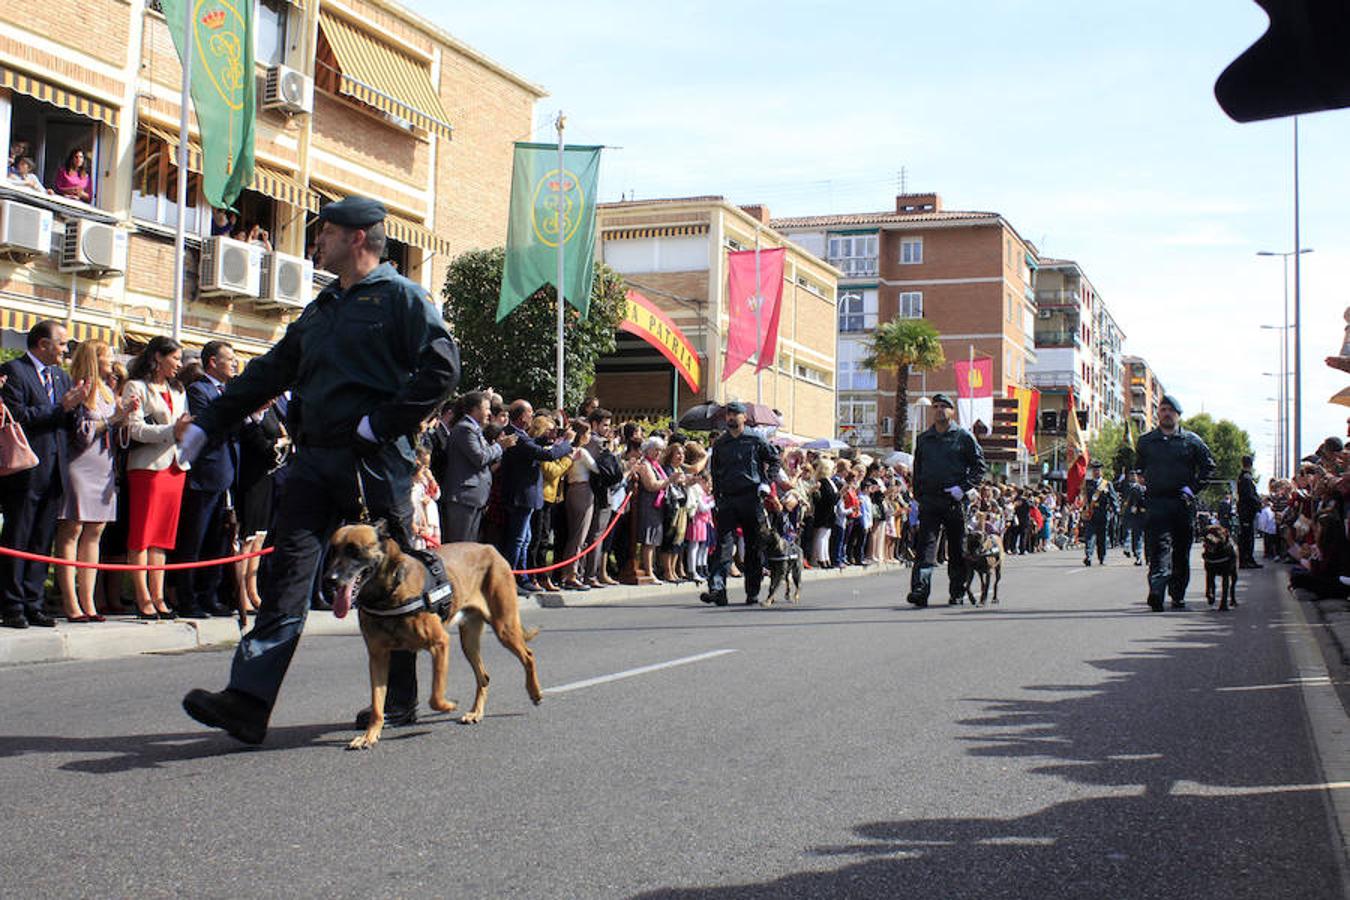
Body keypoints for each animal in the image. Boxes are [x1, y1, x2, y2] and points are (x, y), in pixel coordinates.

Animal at [324, 520, 540, 755]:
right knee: (483, 676)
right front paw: (369, 735)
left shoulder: (440, 643)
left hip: (504, 627)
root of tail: (490, 548)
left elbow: (435, 696)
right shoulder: (378, 657)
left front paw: (449, 705)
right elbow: (378, 704)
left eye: (354, 550)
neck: (389, 592)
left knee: (528, 655)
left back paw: (535, 692)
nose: (330, 580)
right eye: (332, 551)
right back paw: (476, 712)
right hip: (469, 642)